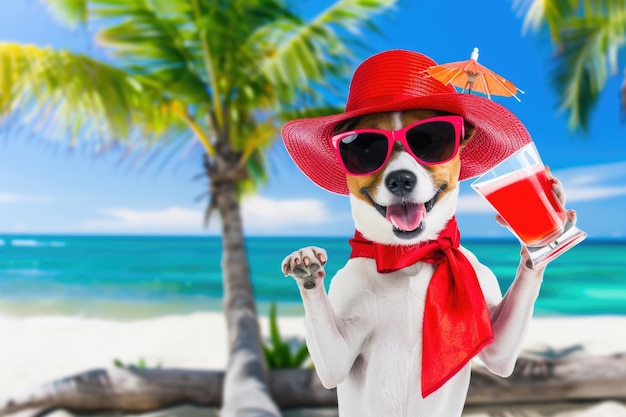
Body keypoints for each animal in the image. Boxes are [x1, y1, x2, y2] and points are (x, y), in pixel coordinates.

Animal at [278, 51, 572, 416]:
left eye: (429, 140)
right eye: (366, 148)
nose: (401, 180)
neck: (411, 257)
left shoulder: (498, 349)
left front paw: (545, 229)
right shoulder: (338, 355)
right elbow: (329, 353)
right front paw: (305, 264)